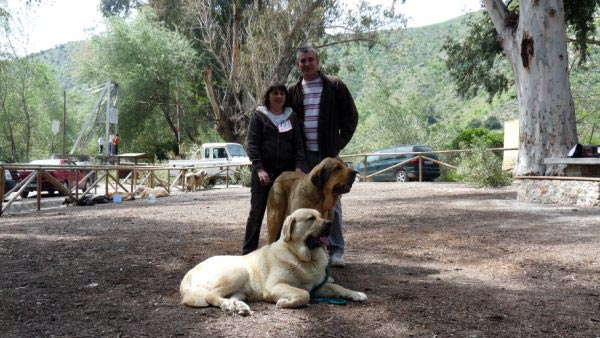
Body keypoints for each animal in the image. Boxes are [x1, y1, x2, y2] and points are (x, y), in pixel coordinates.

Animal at [178, 207, 366, 316]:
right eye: (311, 218)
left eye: (320, 216)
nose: (330, 222)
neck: (302, 257)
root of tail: (190, 273)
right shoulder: (276, 286)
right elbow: (304, 294)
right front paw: (285, 302)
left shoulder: (318, 286)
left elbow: (338, 287)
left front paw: (356, 294)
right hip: (239, 271)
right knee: (210, 295)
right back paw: (231, 305)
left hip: (241, 288)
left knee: (223, 297)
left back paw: (236, 306)